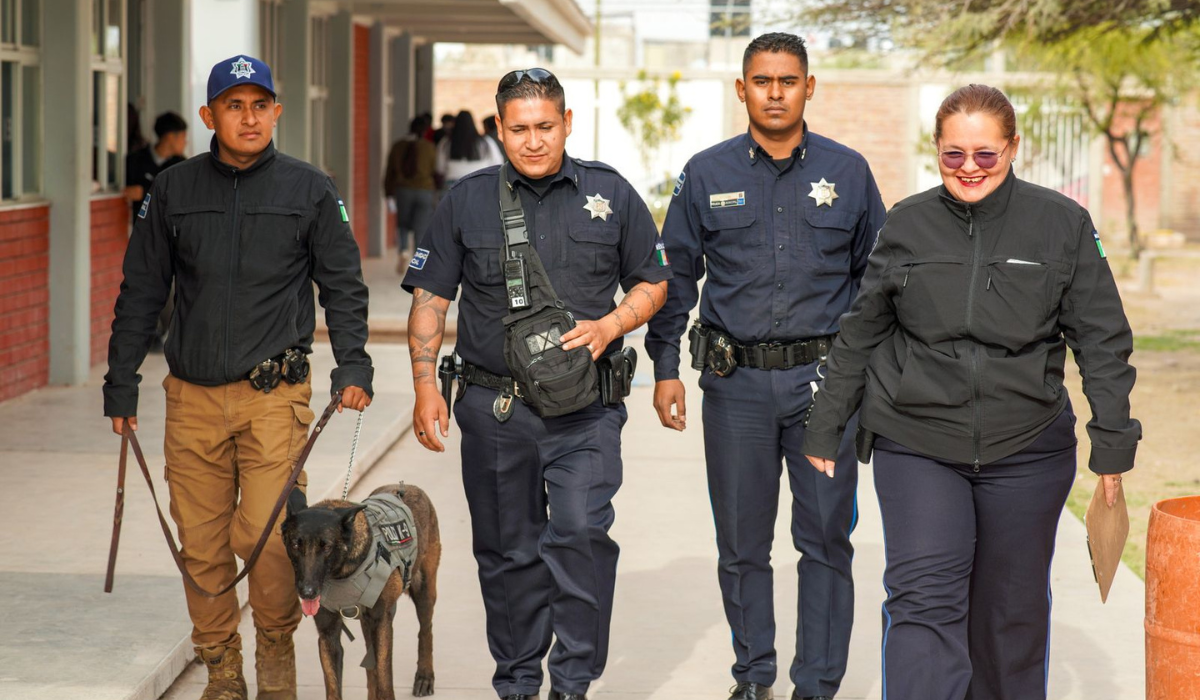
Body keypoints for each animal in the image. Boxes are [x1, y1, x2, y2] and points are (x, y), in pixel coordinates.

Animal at [283, 485, 444, 696]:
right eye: (295, 545)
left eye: (327, 547)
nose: (307, 592)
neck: (342, 572)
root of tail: (409, 487)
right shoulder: (328, 634)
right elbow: (334, 686)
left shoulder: (382, 622)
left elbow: (384, 680)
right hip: (367, 622)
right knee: (370, 667)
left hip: (423, 590)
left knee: (426, 630)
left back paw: (424, 676)